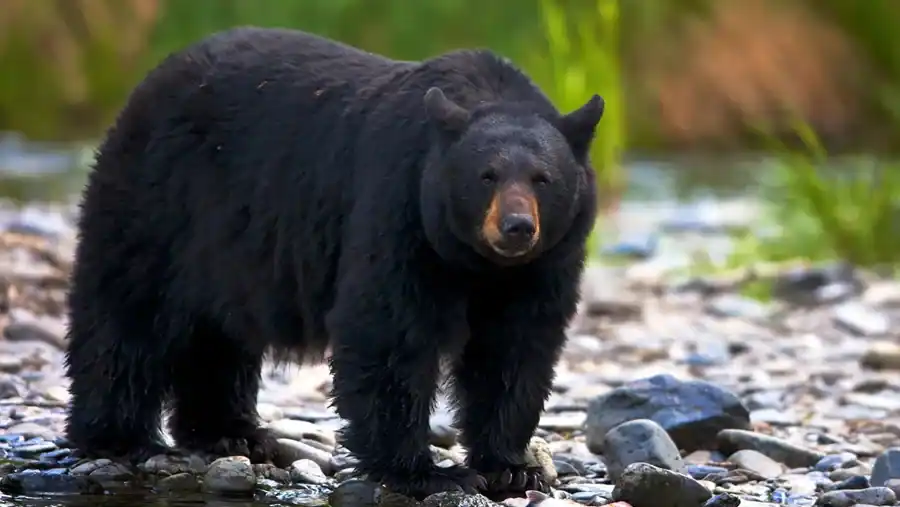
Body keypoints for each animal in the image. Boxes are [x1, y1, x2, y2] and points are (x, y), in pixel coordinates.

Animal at [63, 26, 603, 500]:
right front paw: (426, 472)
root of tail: (150, 80)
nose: (516, 227)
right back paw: (119, 437)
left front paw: (511, 467)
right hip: (158, 202)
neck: (478, 263)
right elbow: (389, 332)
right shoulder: (398, 210)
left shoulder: (543, 265)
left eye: (542, 178)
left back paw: (232, 433)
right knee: (127, 315)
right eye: (486, 175)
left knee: (217, 336)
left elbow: (515, 350)